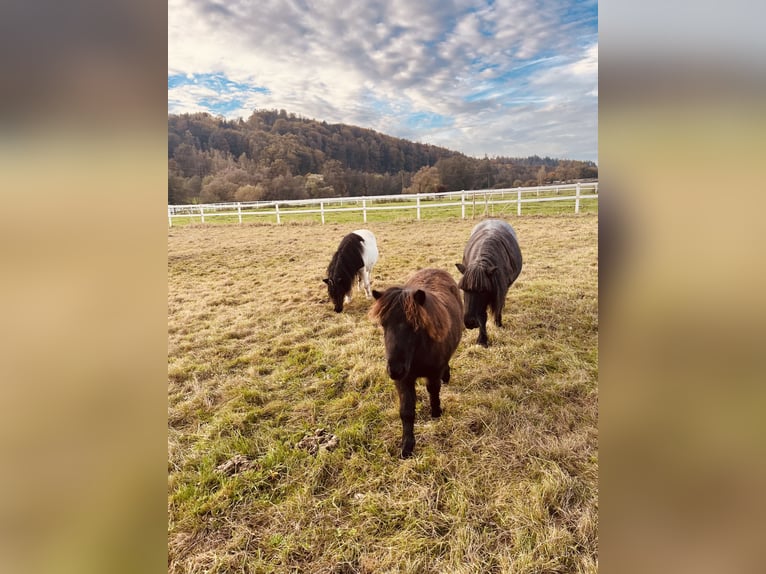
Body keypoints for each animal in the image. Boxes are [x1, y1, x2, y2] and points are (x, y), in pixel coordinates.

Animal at [370, 268, 464, 460]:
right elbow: (406, 411)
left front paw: (436, 413)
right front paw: (407, 446)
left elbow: (433, 391)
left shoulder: (433, 373)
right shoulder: (404, 380)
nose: (395, 370)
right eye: (383, 324)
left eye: (414, 325)